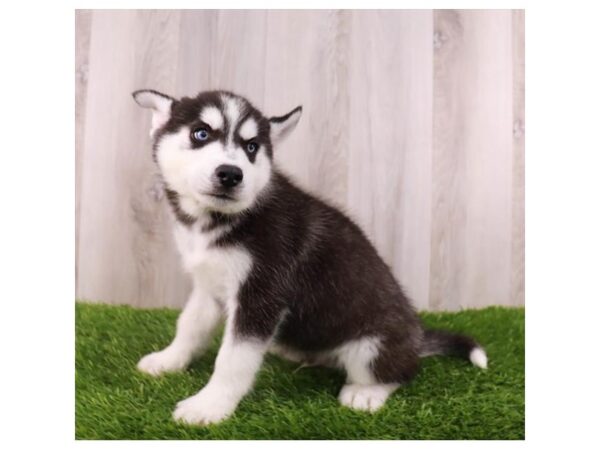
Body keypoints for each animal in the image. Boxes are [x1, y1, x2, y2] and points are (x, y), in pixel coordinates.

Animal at [131, 89, 488, 426]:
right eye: (201, 133)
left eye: (252, 148)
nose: (231, 174)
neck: (216, 220)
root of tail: (416, 340)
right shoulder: (209, 286)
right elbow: (189, 325)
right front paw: (169, 360)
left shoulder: (262, 294)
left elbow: (233, 358)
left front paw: (210, 405)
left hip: (372, 345)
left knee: (401, 372)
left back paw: (367, 392)